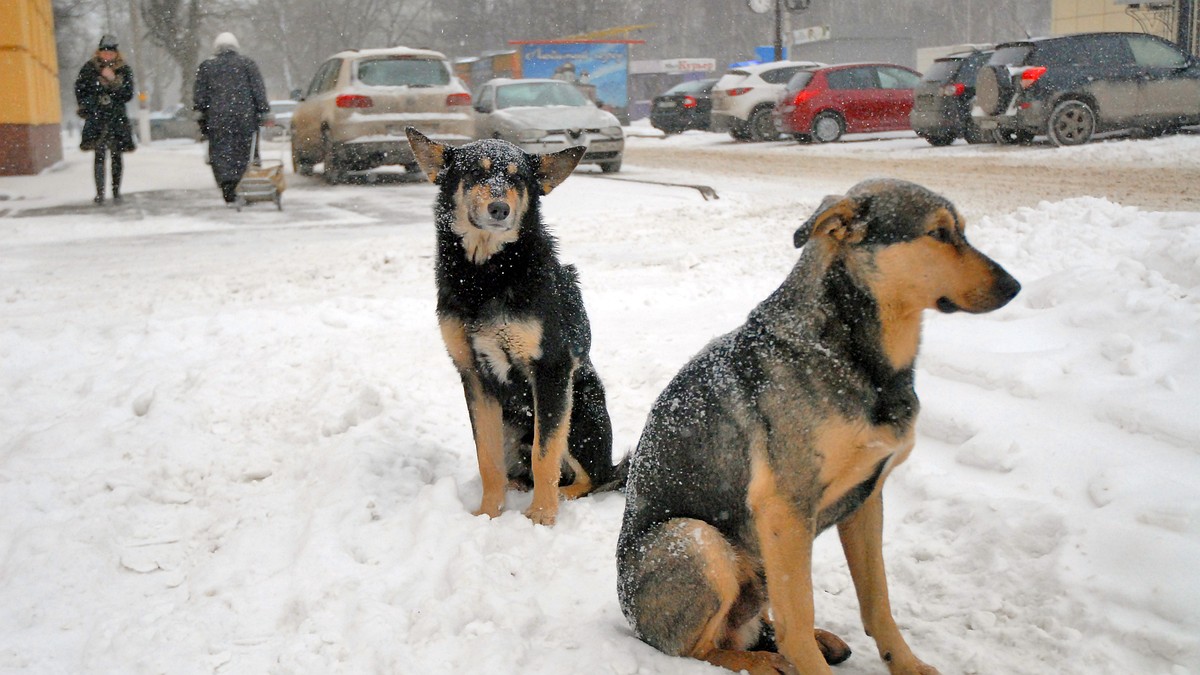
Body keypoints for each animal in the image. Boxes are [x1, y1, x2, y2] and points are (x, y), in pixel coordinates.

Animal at [405, 127, 624, 526]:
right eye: (475, 173)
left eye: (518, 178)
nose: (499, 209)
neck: (487, 274)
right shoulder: (474, 375)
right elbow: (488, 458)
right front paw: (489, 514)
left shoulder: (551, 369)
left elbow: (544, 453)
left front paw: (541, 516)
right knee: (519, 469)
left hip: (579, 407)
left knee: (596, 476)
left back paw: (561, 497)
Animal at [619, 178, 1022, 672]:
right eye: (939, 233)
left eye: (962, 230)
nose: (1015, 287)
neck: (850, 351)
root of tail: (632, 621)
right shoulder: (785, 508)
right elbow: (798, 617)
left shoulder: (866, 500)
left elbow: (877, 601)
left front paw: (905, 663)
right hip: (695, 538)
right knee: (699, 649)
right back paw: (761, 661)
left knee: (752, 625)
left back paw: (807, 639)